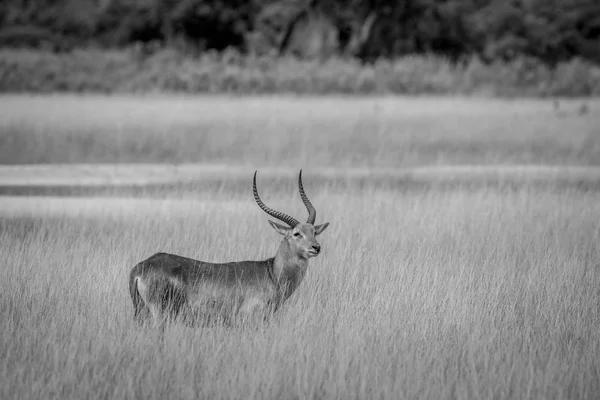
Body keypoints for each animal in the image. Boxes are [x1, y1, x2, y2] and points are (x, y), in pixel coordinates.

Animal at [128, 169, 330, 328]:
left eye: (313, 231)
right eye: (296, 233)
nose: (316, 247)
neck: (272, 273)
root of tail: (139, 268)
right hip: (158, 316)